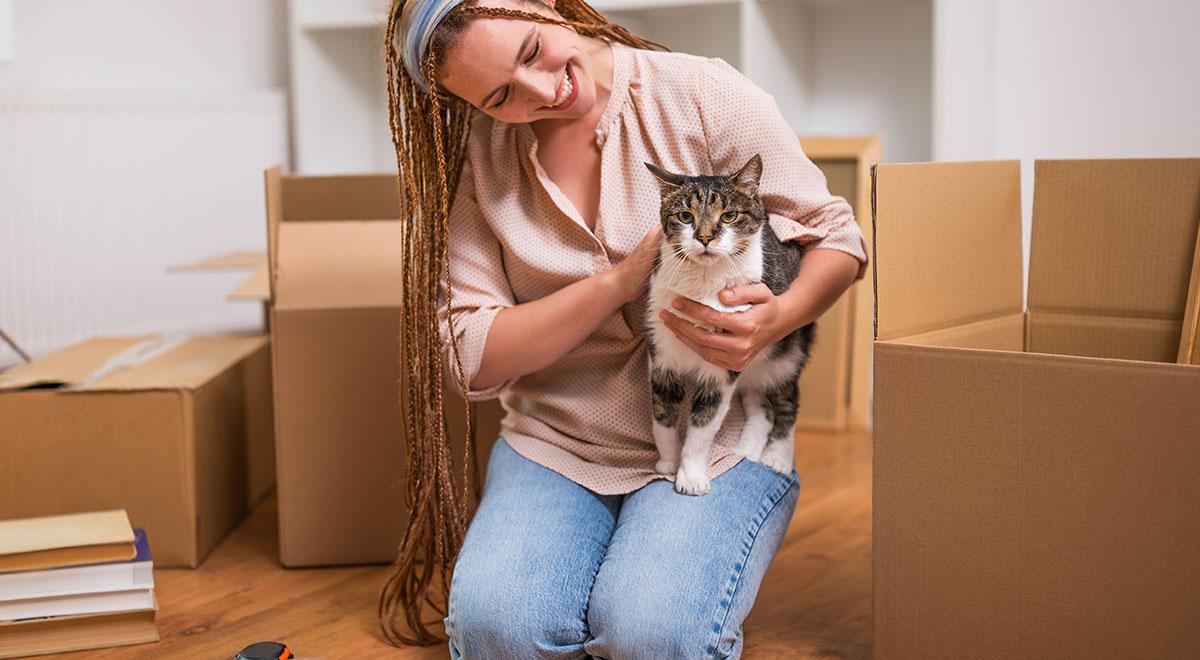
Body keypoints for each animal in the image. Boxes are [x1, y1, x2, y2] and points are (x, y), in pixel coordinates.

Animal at [648, 154, 816, 496]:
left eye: (729, 216)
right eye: (685, 216)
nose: (705, 237)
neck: (702, 282)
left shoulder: (723, 366)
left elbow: (702, 428)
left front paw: (691, 476)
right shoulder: (661, 354)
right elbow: (662, 414)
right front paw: (668, 461)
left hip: (785, 355)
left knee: (786, 404)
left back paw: (776, 457)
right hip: (752, 370)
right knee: (761, 411)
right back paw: (746, 451)